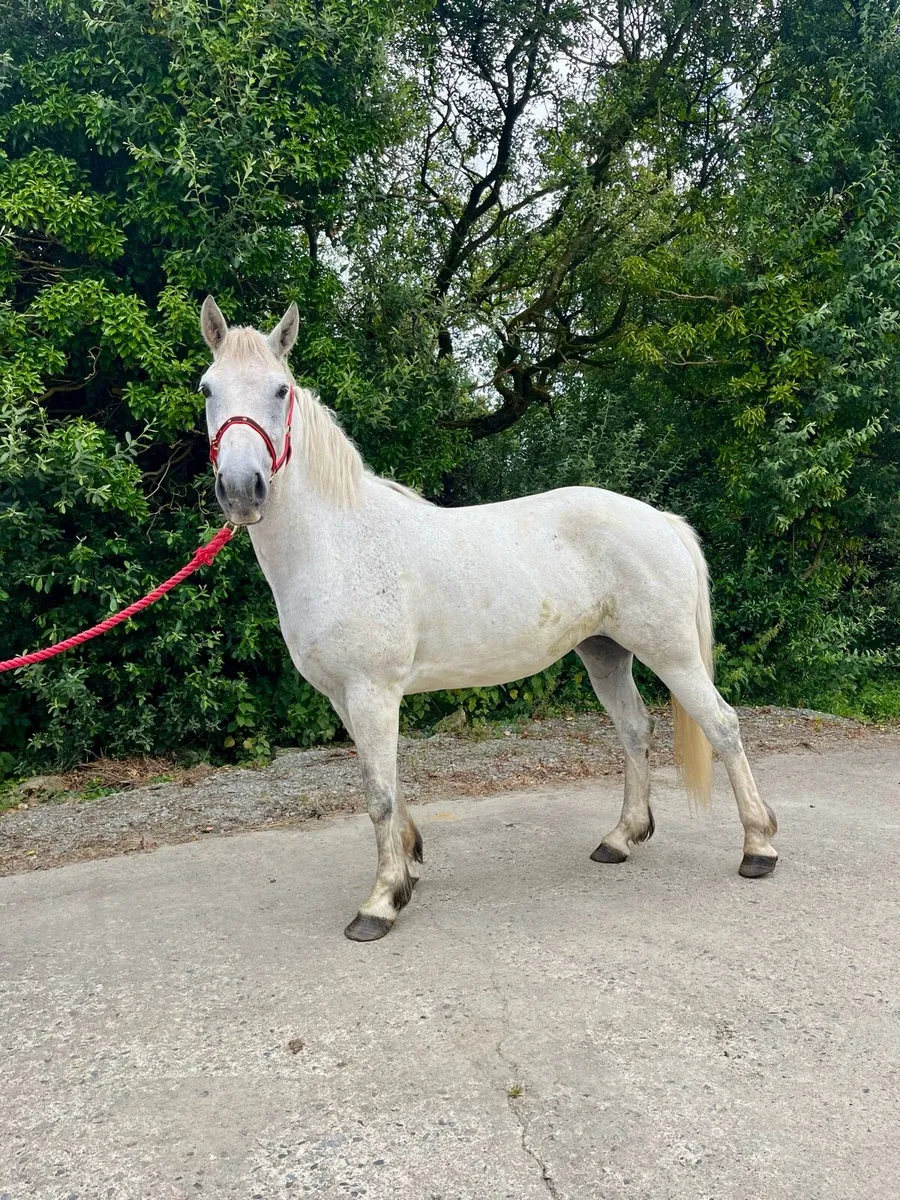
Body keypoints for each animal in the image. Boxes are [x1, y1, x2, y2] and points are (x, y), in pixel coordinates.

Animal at [199, 297, 779, 941]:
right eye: (207, 389)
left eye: (280, 390)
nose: (241, 490)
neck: (340, 542)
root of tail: (661, 521)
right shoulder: (345, 697)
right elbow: (388, 783)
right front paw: (409, 868)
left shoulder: (372, 691)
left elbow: (377, 795)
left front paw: (380, 902)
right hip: (605, 653)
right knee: (635, 730)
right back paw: (620, 839)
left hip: (671, 653)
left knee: (723, 726)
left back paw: (758, 847)